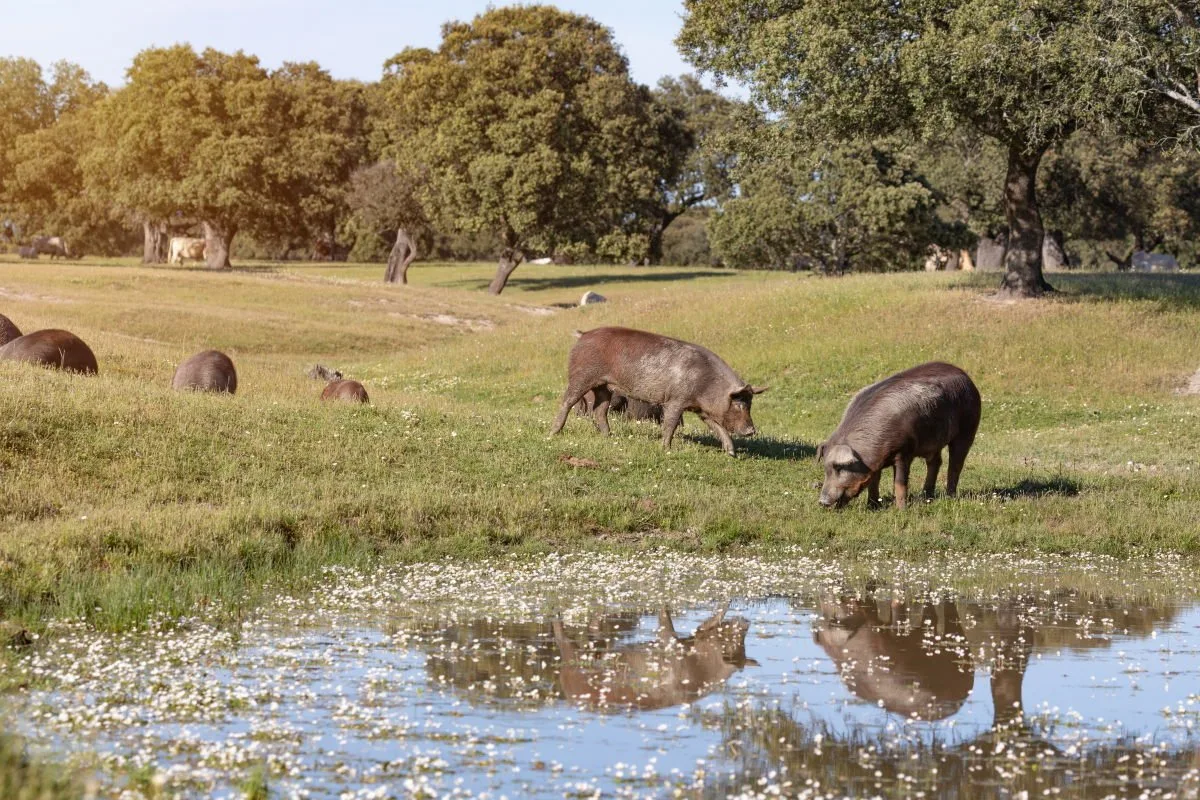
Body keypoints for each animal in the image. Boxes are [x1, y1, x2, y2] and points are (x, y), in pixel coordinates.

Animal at [549, 326, 763, 455]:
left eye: (750, 404)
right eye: (739, 404)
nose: (752, 431)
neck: (707, 383)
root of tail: (583, 334)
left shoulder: (701, 409)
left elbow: (718, 428)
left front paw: (731, 453)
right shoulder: (675, 400)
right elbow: (670, 425)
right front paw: (666, 449)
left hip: (605, 387)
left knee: (599, 411)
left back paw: (609, 437)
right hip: (581, 376)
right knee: (567, 401)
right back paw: (553, 433)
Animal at [816, 362, 984, 506]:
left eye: (839, 468)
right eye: (826, 468)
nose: (822, 502)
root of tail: (965, 375)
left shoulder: (904, 451)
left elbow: (900, 482)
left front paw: (901, 509)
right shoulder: (875, 463)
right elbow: (874, 482)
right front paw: (872, 506)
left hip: (968, 428)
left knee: (955, 464)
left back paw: (950, 497)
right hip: (933, 441)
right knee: (935, 462)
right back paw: (926, 496)